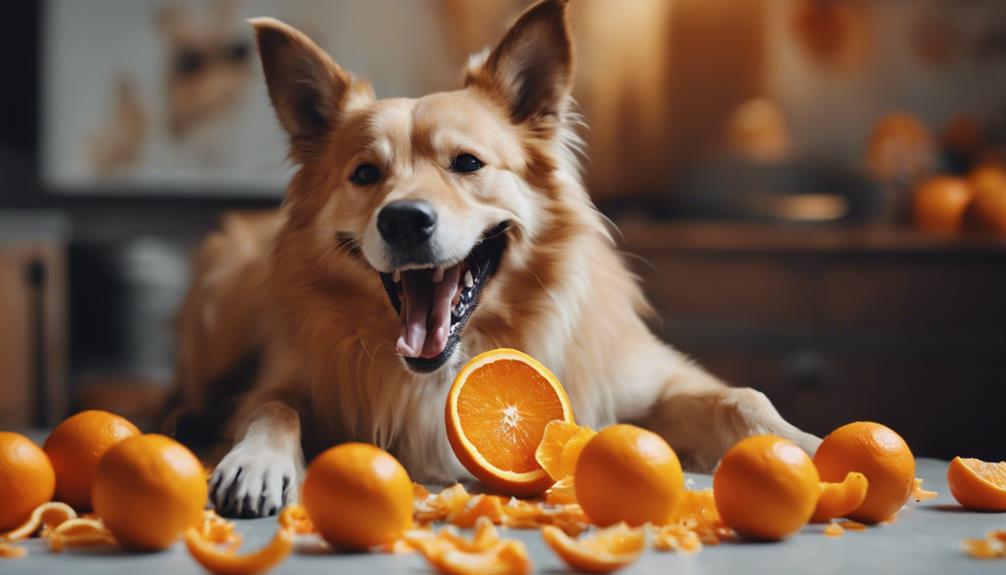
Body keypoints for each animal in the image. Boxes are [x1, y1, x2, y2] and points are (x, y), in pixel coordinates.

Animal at [169, 0, 820, 518]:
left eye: (467, 163)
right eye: (365, 174)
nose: (403, 219)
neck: (453, 361)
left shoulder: (646, 383)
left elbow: (742, 396)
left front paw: (808, 446)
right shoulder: (288, 377)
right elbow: (272, 405)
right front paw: (255, 460)